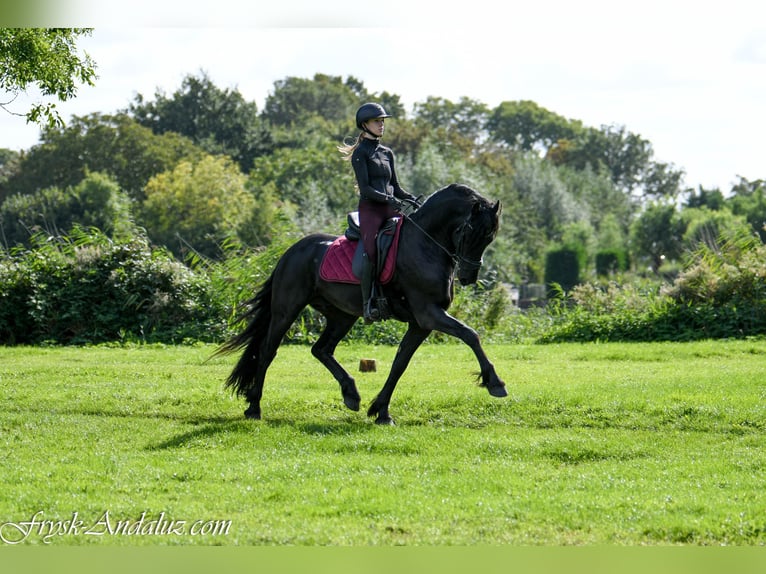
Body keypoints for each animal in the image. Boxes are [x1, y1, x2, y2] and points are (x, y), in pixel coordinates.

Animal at [214, 183, 507, 425]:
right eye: (470, 232)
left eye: (490, 236)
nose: (468, 277)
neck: (425, 244)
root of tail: (292, 250)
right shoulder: (429, 314)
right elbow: (471, 335)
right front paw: (494, 382)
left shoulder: (420, 324)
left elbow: (400, 363)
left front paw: (381, 411)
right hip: (287, 310)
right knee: (267, 351)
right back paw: (254, 407)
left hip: (342, 316)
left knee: (321, 350)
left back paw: (351, 394)